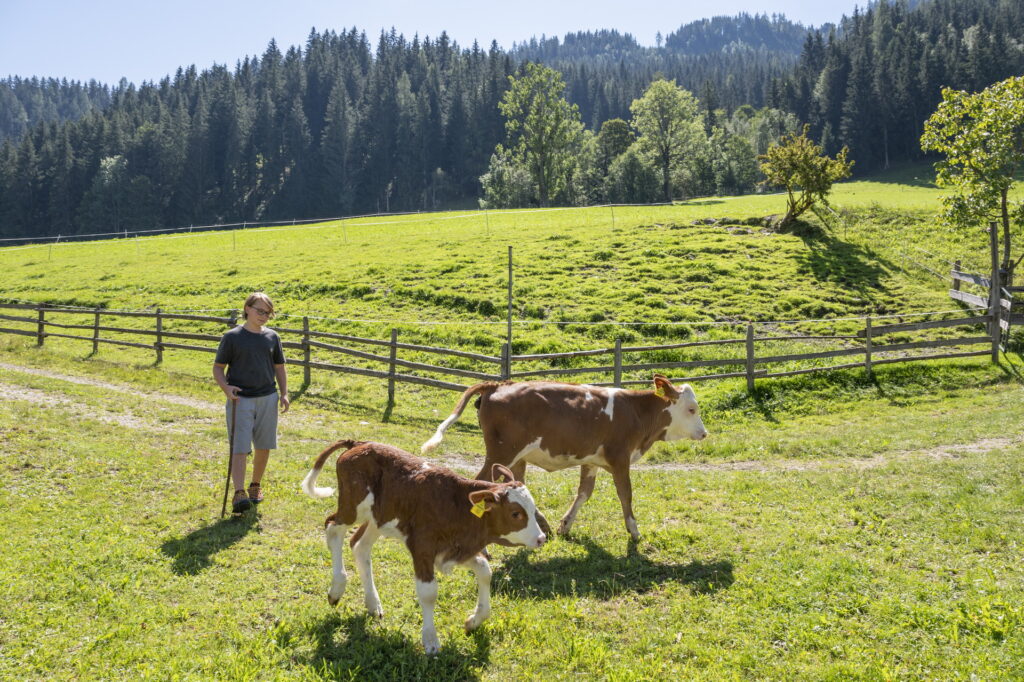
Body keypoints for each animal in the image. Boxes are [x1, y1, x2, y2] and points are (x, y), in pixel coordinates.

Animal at [301, 438, 548, 651]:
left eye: (532, 508)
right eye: (516, 513)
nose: (541, 538)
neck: (456, 505)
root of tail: (359, 443)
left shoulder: (455, 549)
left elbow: (485, 572)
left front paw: (474, 621)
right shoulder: (422, 547)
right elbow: (428, 593)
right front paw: (431, 640)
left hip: (379, 517)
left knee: (360, 545)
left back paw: (373, 604)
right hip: (352, 505)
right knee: (333, 528)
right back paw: (337, 588)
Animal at [419, 374, 708, 540]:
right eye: (692, 409)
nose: (704, 433)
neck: (635, 411)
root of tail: (499, 385)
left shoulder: (591, 461)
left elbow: (584, 493)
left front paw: (565, 525)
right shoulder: (620, 458)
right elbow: (625, 494)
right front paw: (634, 532)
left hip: (516, 457)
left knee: (517, 483)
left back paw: (542, 525)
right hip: (503, 451)